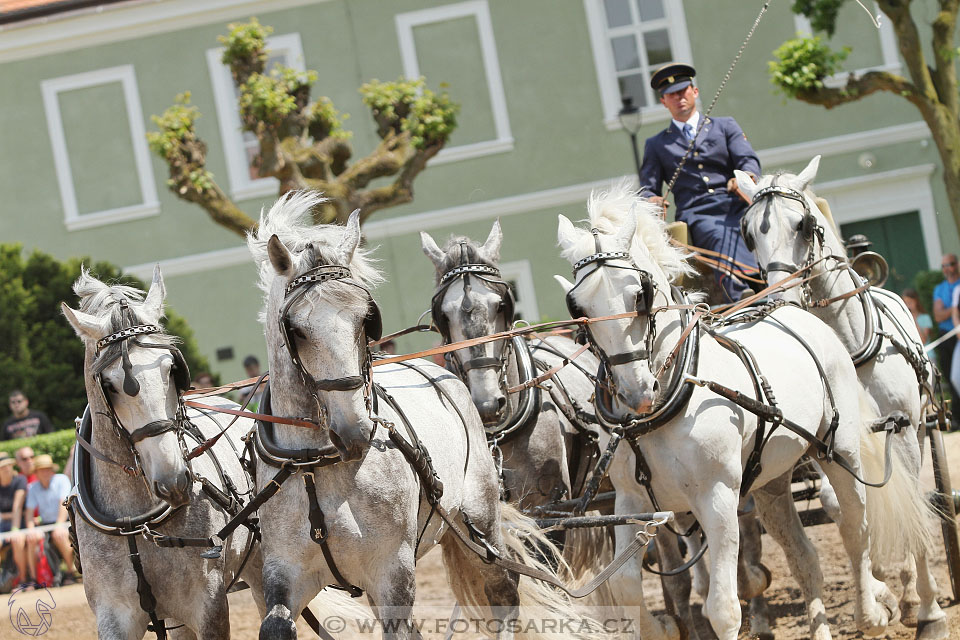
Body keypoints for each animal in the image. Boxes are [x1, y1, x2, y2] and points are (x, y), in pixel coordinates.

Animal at [248, 194, 588, 640]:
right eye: (296, 329)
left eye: (366, 319)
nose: (354, 429)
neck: (316, 465)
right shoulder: (284, 573)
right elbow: (275, 624)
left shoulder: (392, 573)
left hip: (481, 525)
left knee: (503, 593)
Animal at [556, 185, 924, 640]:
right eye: (577, 307)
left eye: (640, 293)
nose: (635, 391)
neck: (661, 409)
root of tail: (794, 309)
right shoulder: (630, 501)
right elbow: (626, 587)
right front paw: (663, 628)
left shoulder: (718, 497)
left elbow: (724, 608)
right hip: (771, 480)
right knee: (804, 556)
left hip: (840, 451)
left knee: (856, 526)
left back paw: (874, 609)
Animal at [736, 156, 944, 640]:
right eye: (748, 232)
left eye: (804, 224)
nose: (780, 296)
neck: (848, 343)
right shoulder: (819, 441)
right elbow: (843, 507)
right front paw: (881, 593)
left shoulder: (900, 431)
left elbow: (913, 513)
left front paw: (927, 610)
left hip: (917, 432)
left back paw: (911, 594)